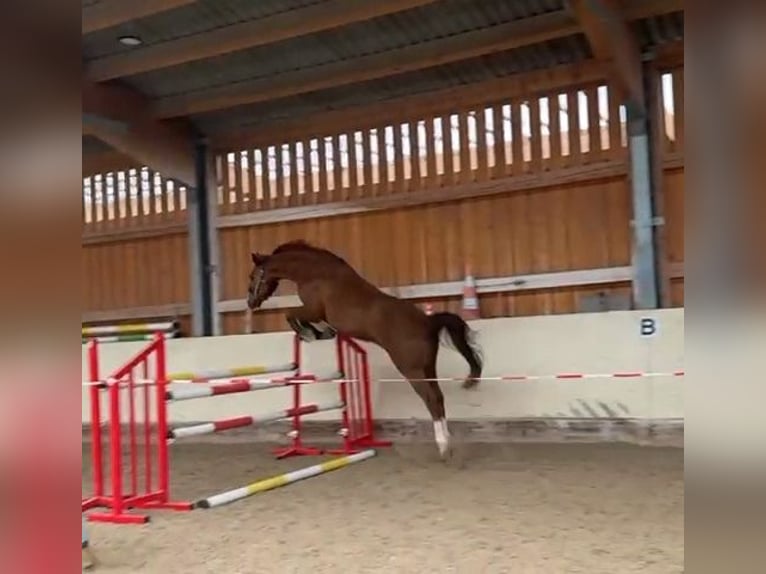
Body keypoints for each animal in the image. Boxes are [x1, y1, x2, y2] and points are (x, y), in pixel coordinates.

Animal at [246, 239, 483, 459]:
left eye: (252, 276)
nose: (250, 303)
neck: (316, 273)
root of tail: (427, 322)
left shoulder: (312, 310)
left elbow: (290, 314)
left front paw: (309, 334)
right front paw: (321, 333)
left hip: (411, 369)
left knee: (431, 399)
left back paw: (443, 446)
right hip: (427, 367)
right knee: (438, 398)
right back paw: (447, 441)